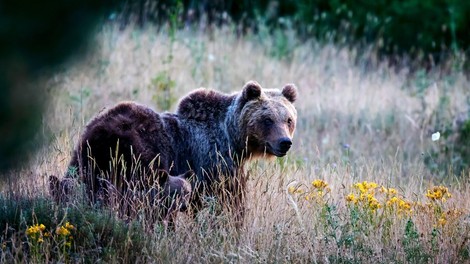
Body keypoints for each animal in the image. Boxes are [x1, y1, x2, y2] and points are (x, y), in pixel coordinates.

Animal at [56, 80, 298, 225]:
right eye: (267, 119)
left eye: (288, 119)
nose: (284, 142)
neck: (232, 138)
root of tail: (101, 130)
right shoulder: (214, 162)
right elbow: (228, 202)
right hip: (138, 155)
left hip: (87, 154)